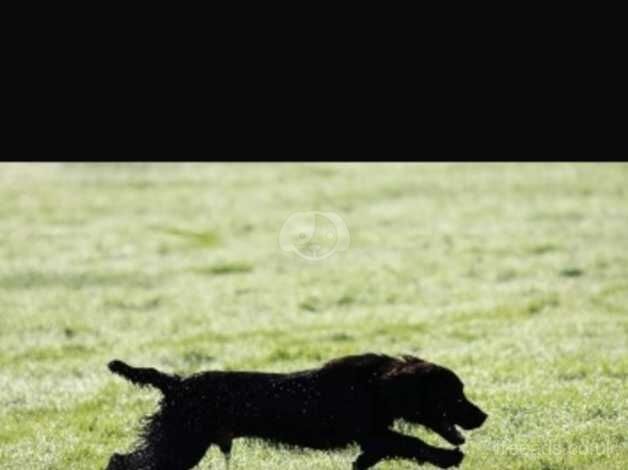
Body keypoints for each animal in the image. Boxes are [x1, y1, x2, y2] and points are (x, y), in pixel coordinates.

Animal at [106, 354, 486, 468]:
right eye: (455, 395)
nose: (483, 416)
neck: (375, 385)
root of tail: (176, 383)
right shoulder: (374, 434)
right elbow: (412, 443)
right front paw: (448, 457)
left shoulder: (373, 441)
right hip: (180, 444)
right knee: (121, 461)